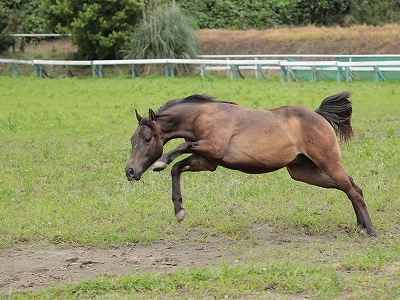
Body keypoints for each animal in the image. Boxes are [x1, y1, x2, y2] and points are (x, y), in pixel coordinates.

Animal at [126, 92, 378, 237]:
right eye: (132, 139)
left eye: (147, 139)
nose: (130, 171)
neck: (203, 116)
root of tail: (318, 116)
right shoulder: (206, 161)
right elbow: (178, 168)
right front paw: (179, 211)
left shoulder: (212, 146)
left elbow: (179, 148)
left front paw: (160, 162)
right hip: (305, 172)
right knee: (351, 187)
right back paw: (359, 226)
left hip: (327, 162)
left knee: (353, 191)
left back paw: (371, 231)